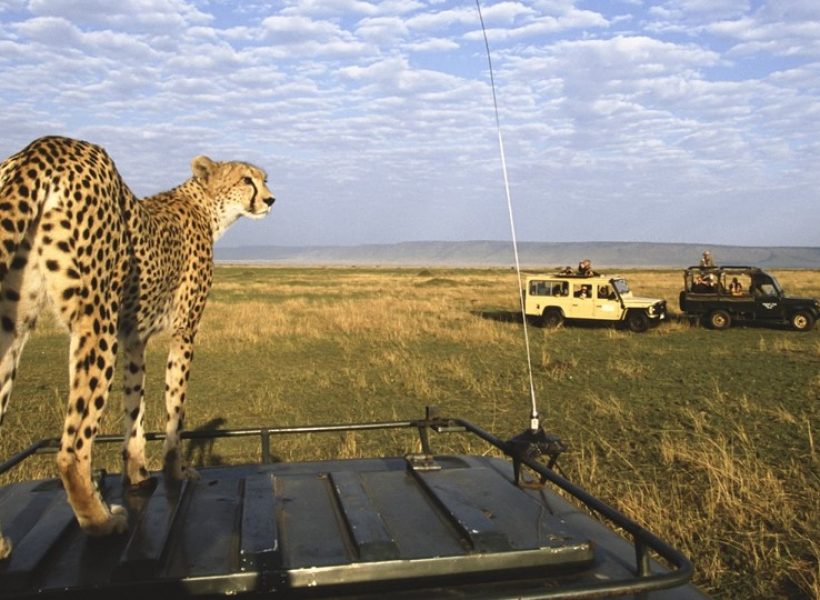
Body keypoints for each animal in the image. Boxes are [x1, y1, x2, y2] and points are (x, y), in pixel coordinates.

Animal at [0, 136, 276, 556]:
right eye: (247, 179)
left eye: (263, 179)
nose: (271, 199)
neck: (205, 206)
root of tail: (46, 145)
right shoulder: (183, 331)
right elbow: (175, 407)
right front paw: (177, 471)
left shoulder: (133, 339)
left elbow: (135, 408)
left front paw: (137, 474)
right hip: (96, 321)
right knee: (71, 447)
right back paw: (100, 521)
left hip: (13, 325)